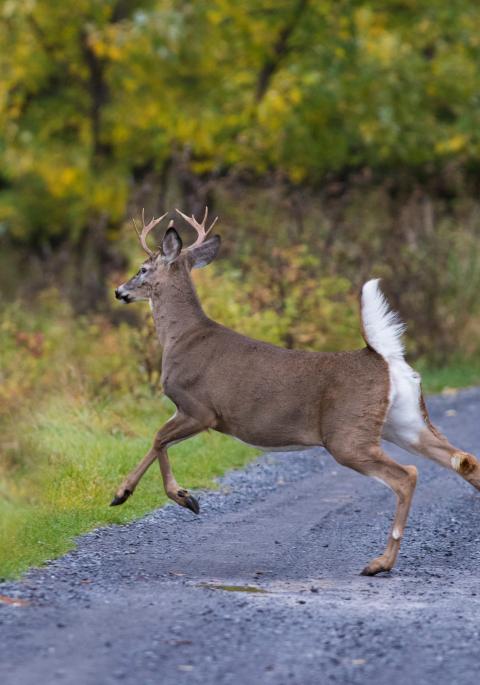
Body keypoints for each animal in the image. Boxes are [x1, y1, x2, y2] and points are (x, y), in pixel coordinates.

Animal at [113, 208, 480, 575]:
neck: (181, 338)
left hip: (347, 435)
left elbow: (158, 439)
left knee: (408, 475)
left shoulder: (199, 407)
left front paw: (166, 496)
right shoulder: (191, 412)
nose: (119, 291)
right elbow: (159, 442)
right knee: (464, 459)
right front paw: (149, 495)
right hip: (404, 421)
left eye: (142, 268)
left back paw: (380, 563)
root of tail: (384, 358)